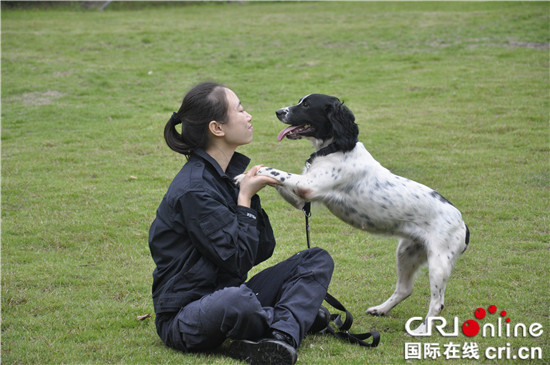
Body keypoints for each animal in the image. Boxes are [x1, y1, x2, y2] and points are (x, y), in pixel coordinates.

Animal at [237, 93, 470, 332]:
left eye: (307, 105)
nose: (278, 112)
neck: (335, 148)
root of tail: (463, 224)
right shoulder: (302, 198)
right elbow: (275, 178)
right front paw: (245, 177)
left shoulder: (309, 185)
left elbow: (274, 171)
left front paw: (244, 176)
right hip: (407, 252)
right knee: (405, 289)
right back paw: (381, 309)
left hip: (439, 263)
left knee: (437, 303)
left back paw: (422, 329)